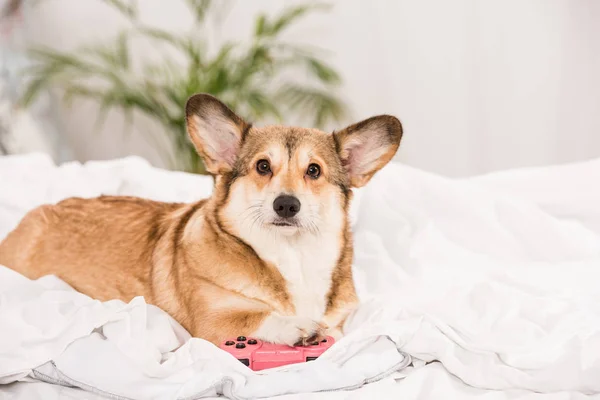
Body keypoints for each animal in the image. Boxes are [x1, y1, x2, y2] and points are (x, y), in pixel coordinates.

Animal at [1, 94, 404, 346]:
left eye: (314, 171)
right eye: (262, 166)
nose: (286, 205)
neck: (292, 256)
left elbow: (339, 331)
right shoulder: (212, 323)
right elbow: (257, 317)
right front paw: (297, 326)